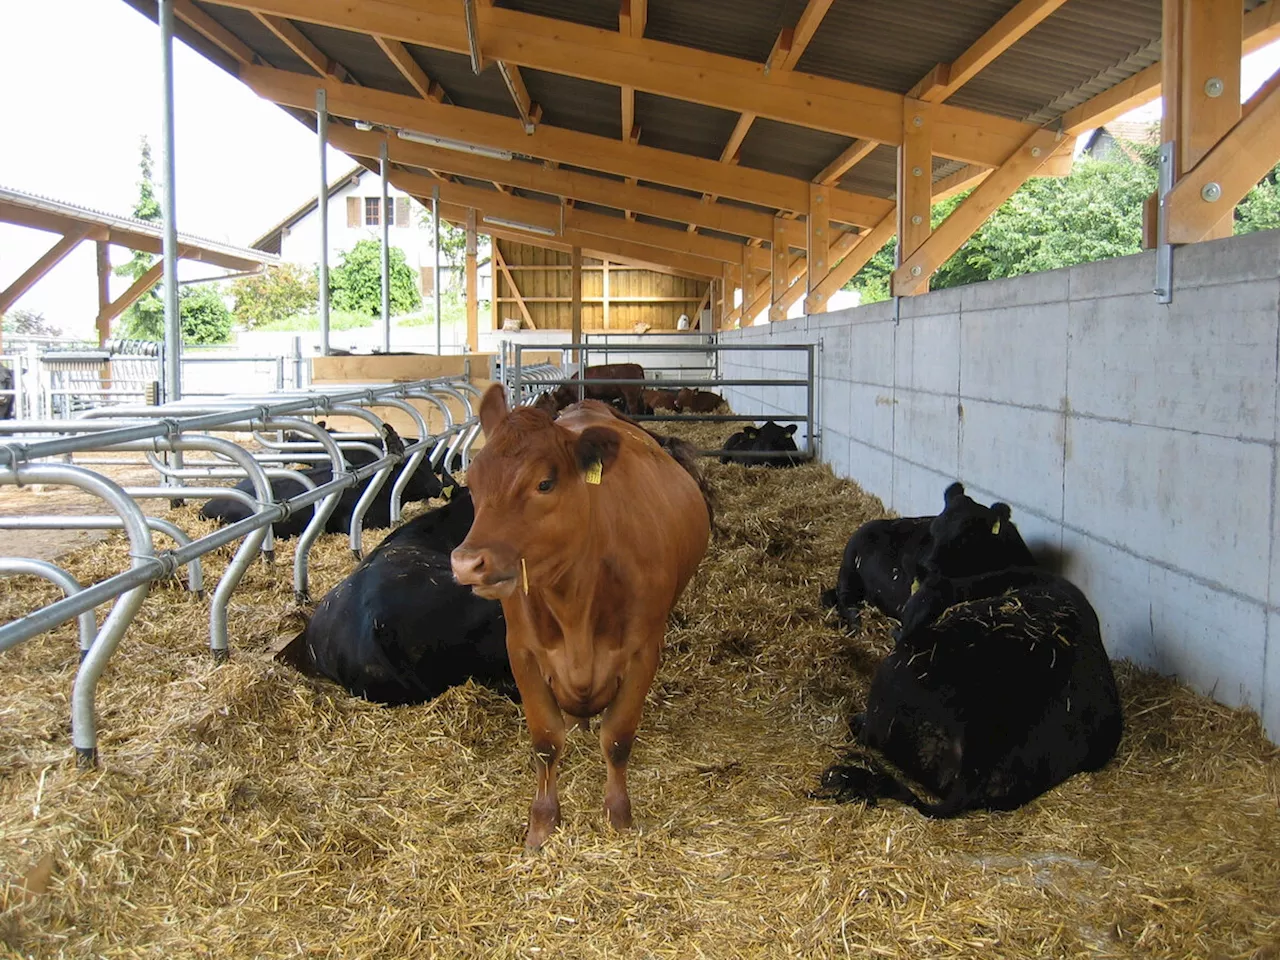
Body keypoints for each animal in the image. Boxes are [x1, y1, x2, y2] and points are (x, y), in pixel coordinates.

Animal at [450, 384, 711, 849]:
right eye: (474, 483)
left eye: (544, 483)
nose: (466, 563)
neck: (575, 602)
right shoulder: (522, 652)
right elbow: (545, 742)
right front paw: (541, 823)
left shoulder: (644, 651)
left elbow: (619, 738)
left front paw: (619, 816)